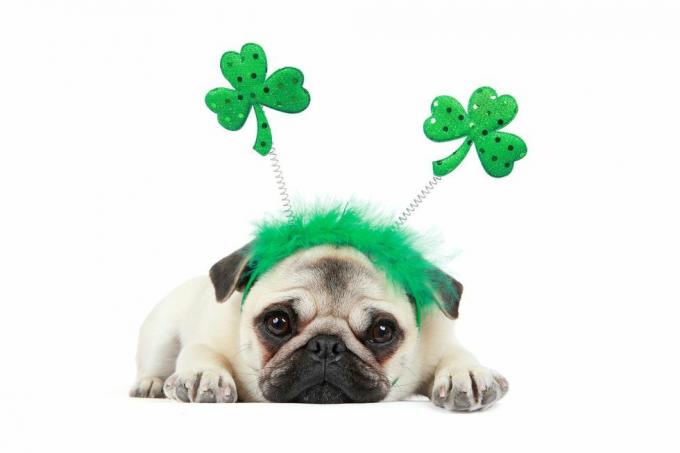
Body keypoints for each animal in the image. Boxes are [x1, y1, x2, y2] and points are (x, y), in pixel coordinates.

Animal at [130, 244, 508, 410]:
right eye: (278, 322)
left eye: (382, 331)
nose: (326, 345)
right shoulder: (209, 337)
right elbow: (201, 353)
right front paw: (205, 376)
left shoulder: (438, 341)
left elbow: (457, 356)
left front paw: (466, 376)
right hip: (160, 334)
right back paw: (151, 383)